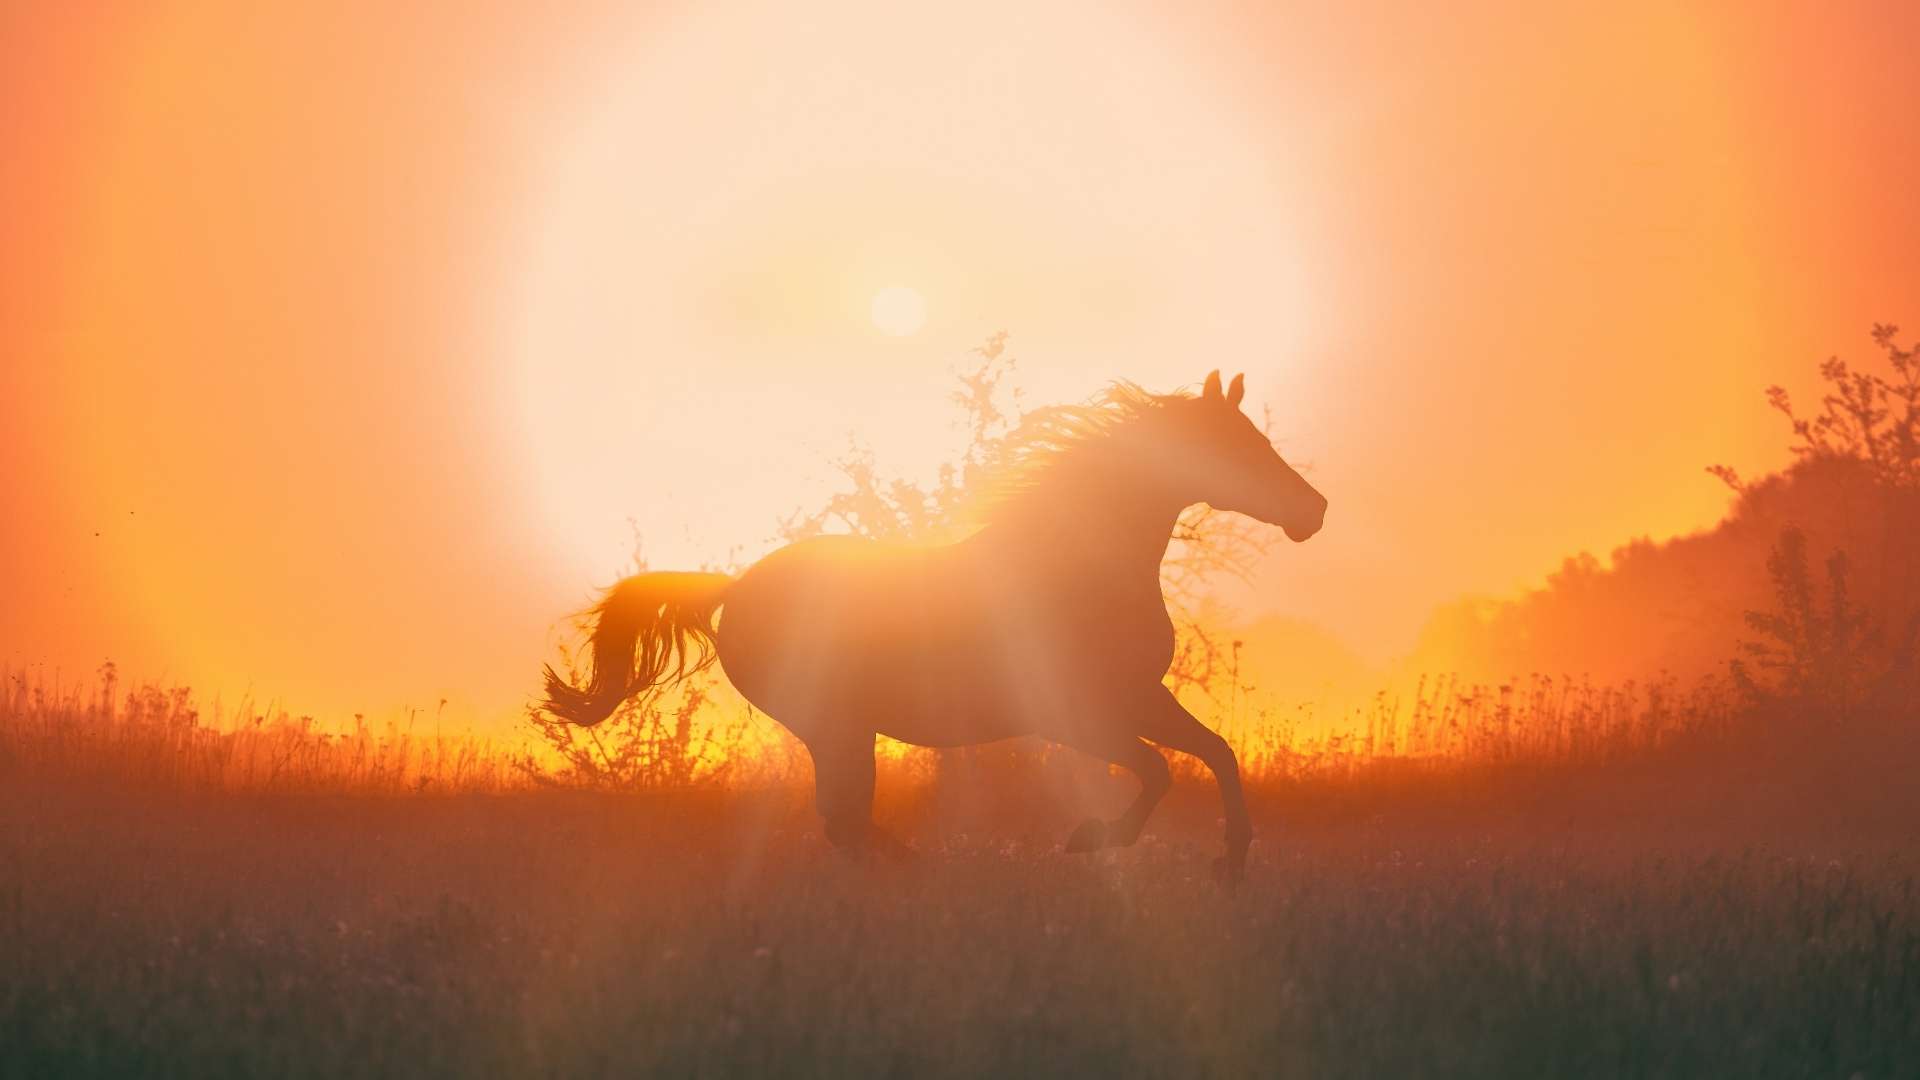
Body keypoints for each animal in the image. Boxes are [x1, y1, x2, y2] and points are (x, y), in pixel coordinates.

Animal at [542, 370, 1327, 883]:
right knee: (843, 819)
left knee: (844, 820)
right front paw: (1089, 839)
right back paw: (915, 872)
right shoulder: (1069, 716)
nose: (1313, 511)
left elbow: (1216, 753)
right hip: (835, 725)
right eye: (1238, 446)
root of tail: (737, 587)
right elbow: (1160, 770)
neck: (1077, 566)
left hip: (842, 730)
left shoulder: (1137, 698)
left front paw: (1230, 858)